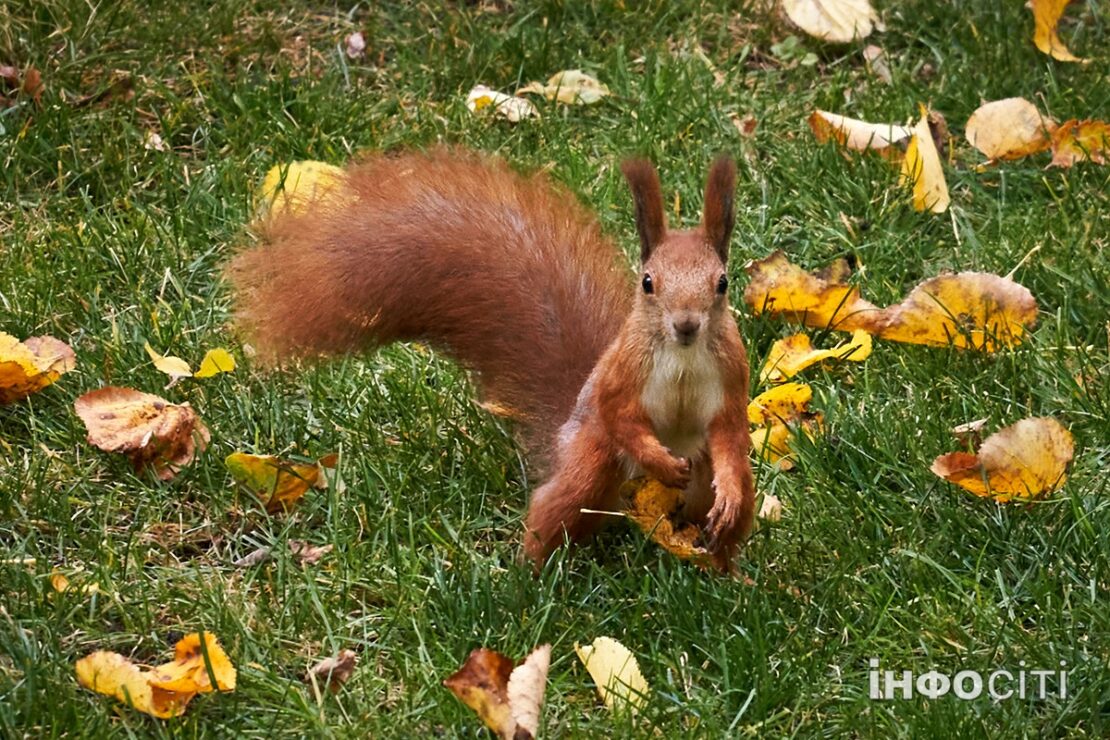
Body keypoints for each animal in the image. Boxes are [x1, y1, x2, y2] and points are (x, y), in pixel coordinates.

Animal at [230, 146, 759, 572]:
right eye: (648, 282)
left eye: (722, 282)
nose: (686, 324)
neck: (683, 355)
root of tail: (563, 434)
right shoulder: (621, 373)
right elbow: (619, 415)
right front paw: (659, 460)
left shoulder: (732, 376)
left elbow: (730, 432)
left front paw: (725, 493)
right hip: (592, 456)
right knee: (560, 501)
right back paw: (531, 575)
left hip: (699, 478)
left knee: (716, 505)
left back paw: (725, 568)